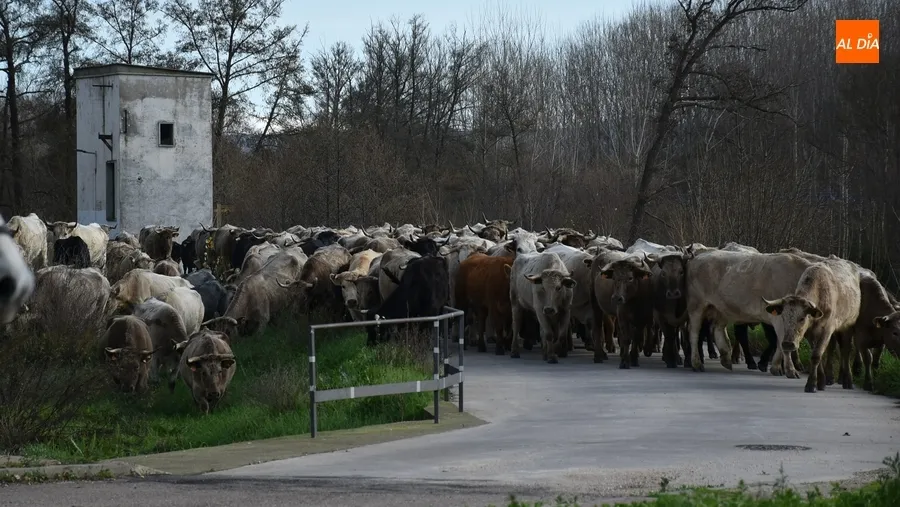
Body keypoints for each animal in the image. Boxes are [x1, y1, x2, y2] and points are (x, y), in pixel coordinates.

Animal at [684, 249, 816, 375]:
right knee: (694, 333)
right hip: (696, 305)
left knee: (718, 329)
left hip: (721, 308)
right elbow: (781, 343)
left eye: (803, 318)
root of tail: (697, 257)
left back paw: (726, 359)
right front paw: (785, 369)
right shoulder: (779, 318)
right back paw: (696, 363)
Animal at [763, 257, 862, 393]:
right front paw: (820, 382)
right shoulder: (810, 333)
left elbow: (816, 355)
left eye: (802, 318)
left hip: (848, 325)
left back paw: (848, 381)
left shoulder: (827, 330)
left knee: (845, 351)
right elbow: (816, 355)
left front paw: (811, 384)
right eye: (783, 317)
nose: (787, 344)